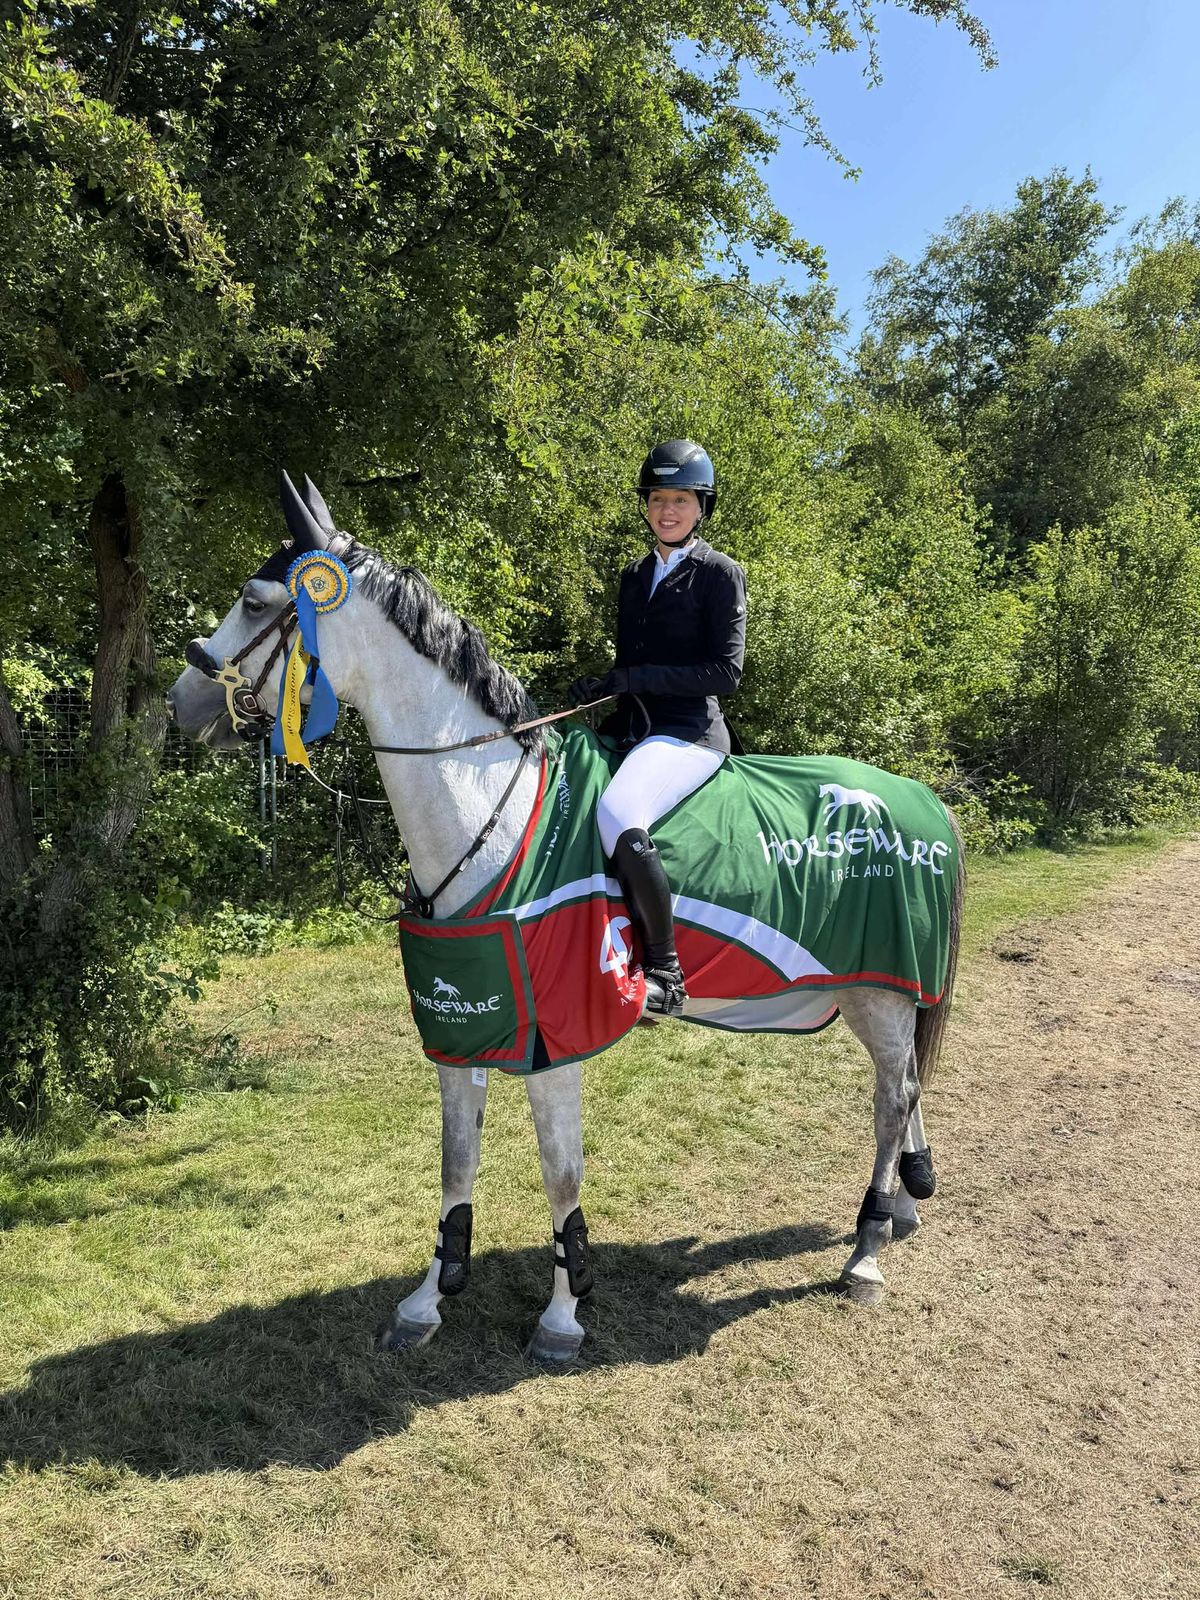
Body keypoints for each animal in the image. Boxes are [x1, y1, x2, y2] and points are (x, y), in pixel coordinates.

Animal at [167, 475, 964, 1360]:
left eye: (253, 599)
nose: (180, 704)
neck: (489, 811)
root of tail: (925, 800)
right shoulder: (466, 1026)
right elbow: (456, 1162)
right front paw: (427, 1299)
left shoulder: (557, 1039)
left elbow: (560, 1173)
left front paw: (561, 1314)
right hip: (871, 994)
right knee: (907, 1086)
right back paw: (904, 1206)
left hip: (880, 989)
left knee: (893, 1097)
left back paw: (867, 1250)